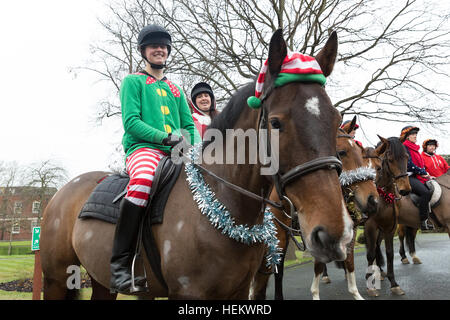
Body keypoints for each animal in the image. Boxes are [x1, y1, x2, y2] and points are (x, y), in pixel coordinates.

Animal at [40, 29, 354, 300]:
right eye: (276, 123)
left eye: (336, 118)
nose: (334, 234)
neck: (220, 204)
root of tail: (63, 191)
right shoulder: (188, 293)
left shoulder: (239, 289)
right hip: (56, 278)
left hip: (101, 282)